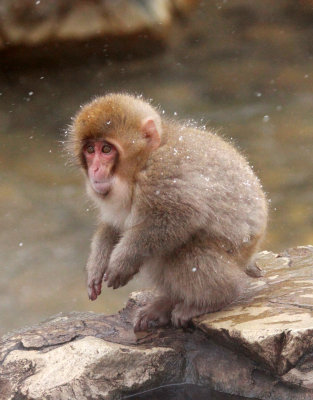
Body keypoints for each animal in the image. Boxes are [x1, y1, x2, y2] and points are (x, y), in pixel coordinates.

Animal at [67, 94, 266, 332]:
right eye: (90, 150)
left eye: (106, 150)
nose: (94, 170)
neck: (140, 166)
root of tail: (252, 252)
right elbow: (114, 226)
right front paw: (97, 264)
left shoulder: (162, 172)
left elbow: (181, 215)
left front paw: (122, 261)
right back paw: (167, 303)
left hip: (237, 252)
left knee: (184, 249)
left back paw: (214, 299)